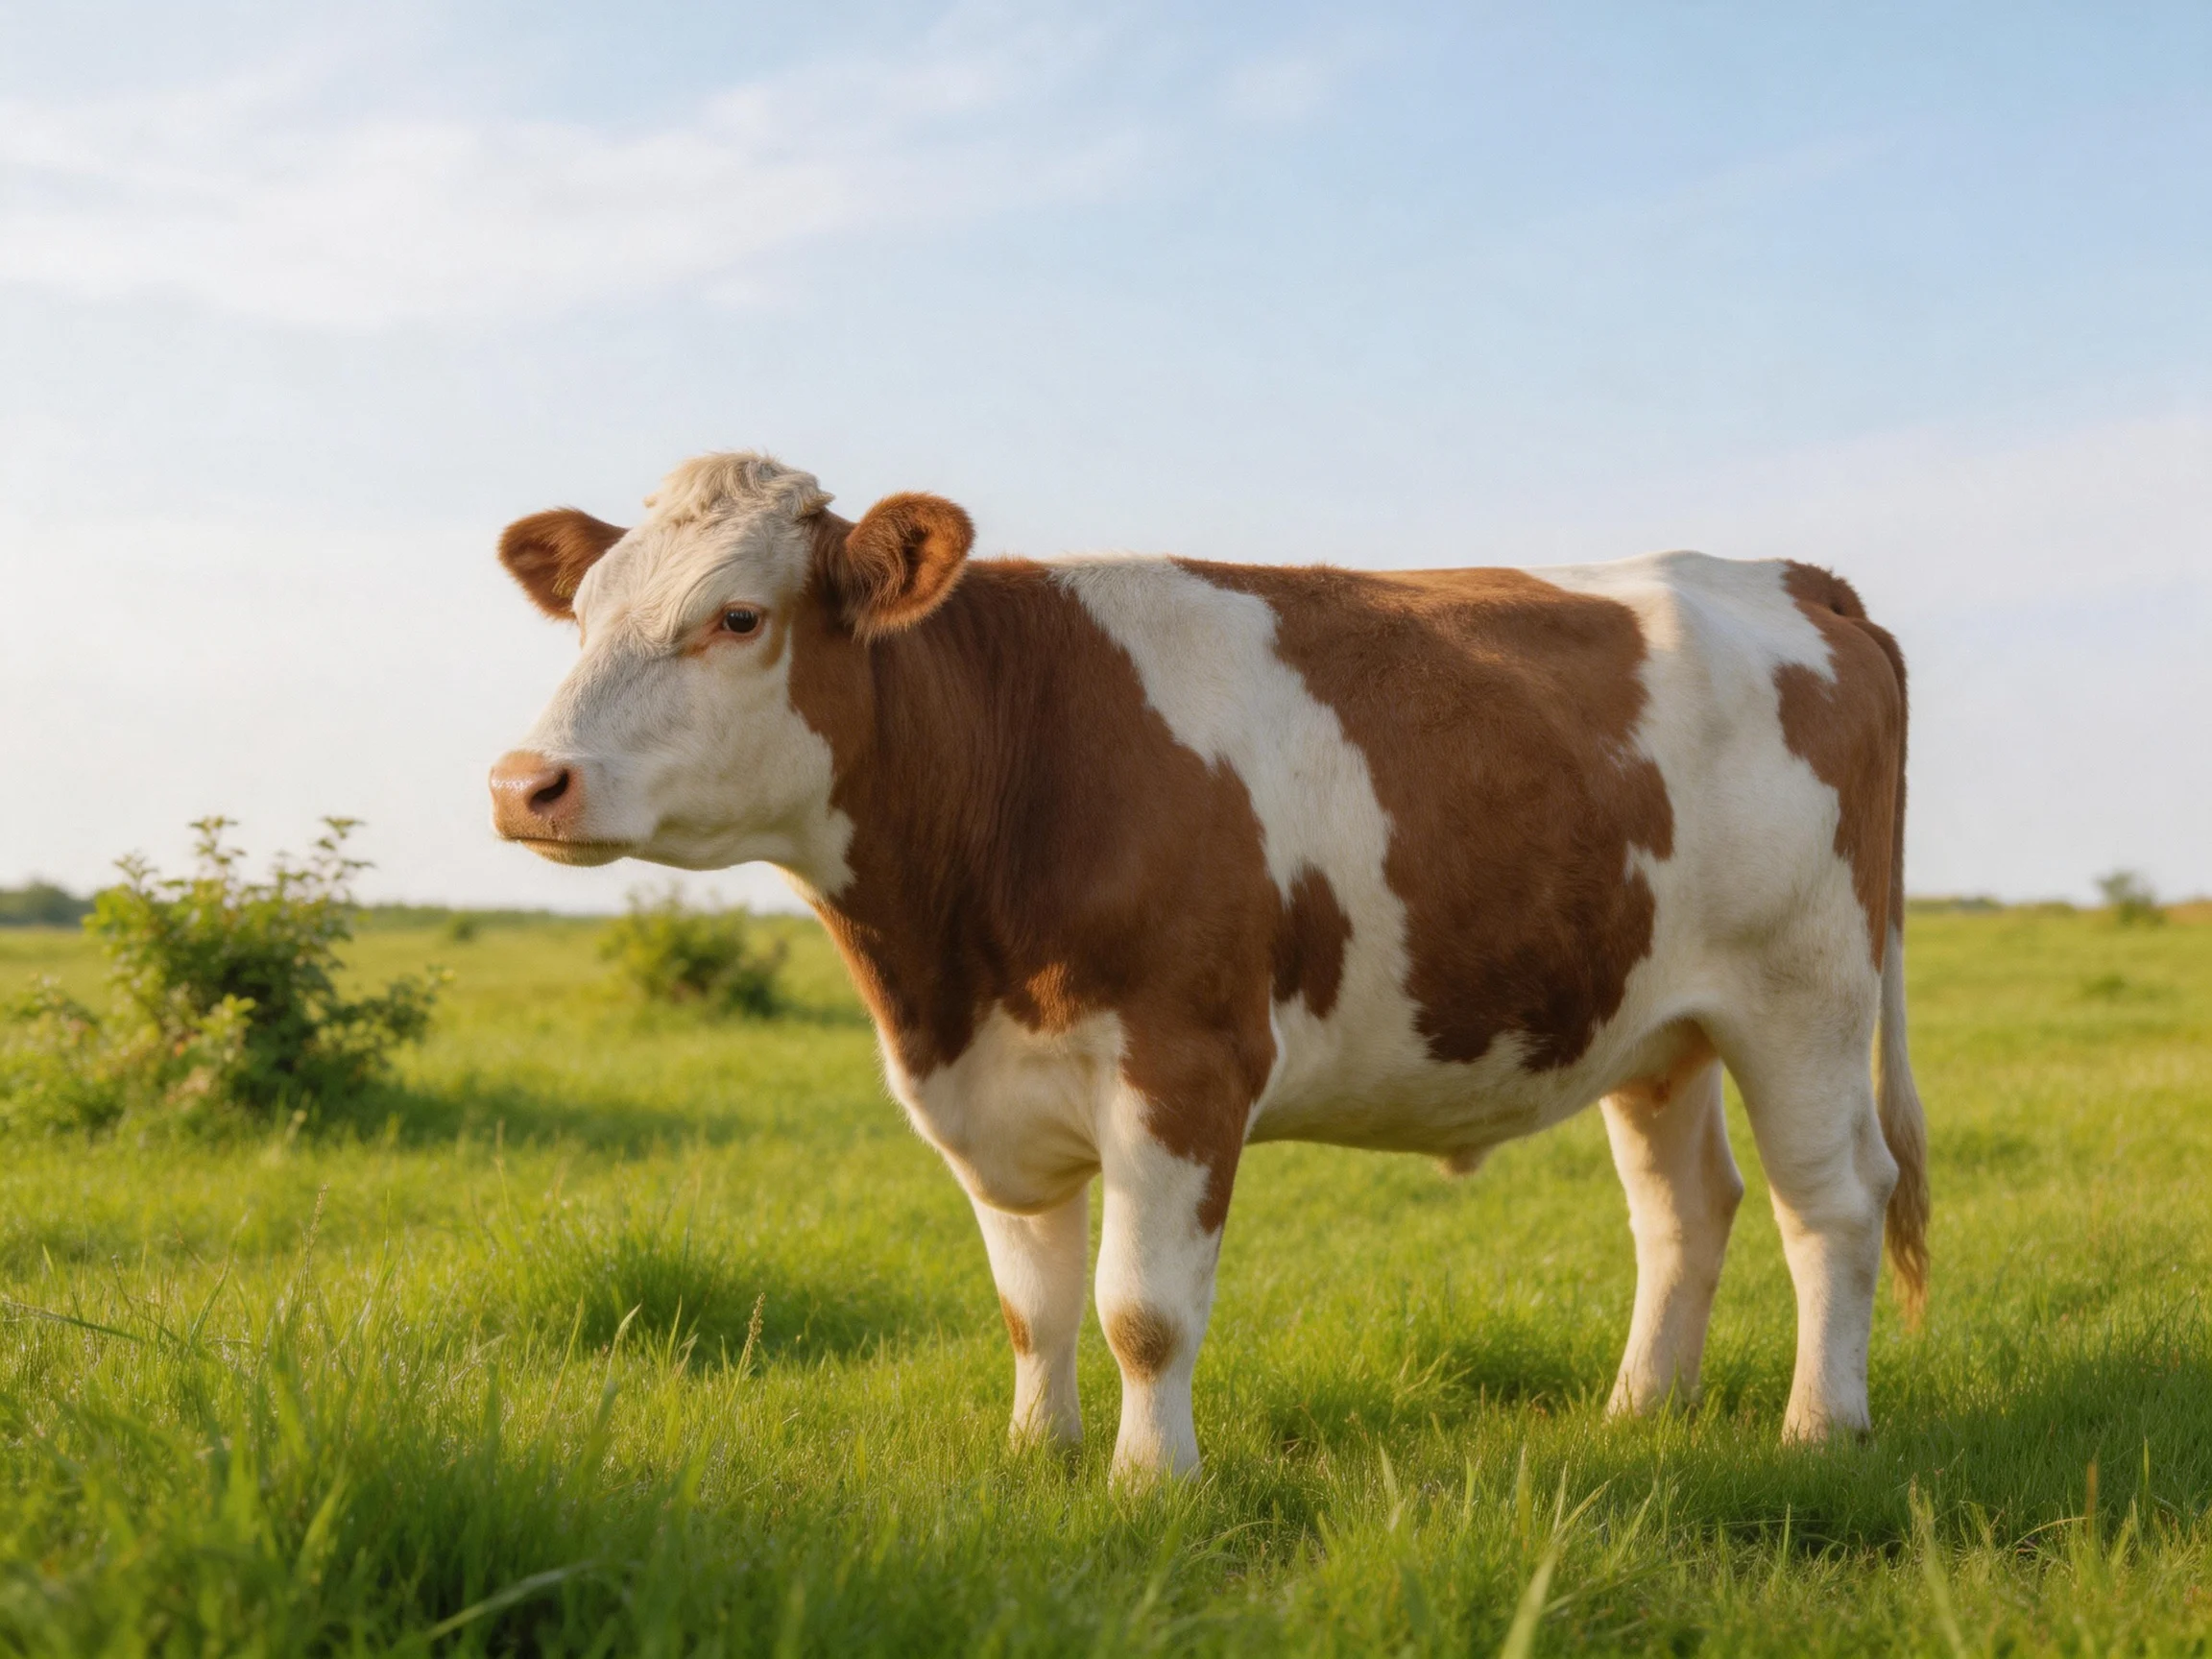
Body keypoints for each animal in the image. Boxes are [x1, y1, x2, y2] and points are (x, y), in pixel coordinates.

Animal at [488, 451, 1928, 1482]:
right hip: (1654, 1020)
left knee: (1833, 1203)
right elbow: (1032, 1305)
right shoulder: (992, 1088)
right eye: (585, 617)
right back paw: (1639, 1414)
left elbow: (1143, 1310)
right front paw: (1039, 1457)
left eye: (737, 618)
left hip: (1804, 995)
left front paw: (1149, 1483)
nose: (523, 783)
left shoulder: (1183, 1067)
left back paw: (1822, 1430)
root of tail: (1793, 579)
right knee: (1686, 1209)